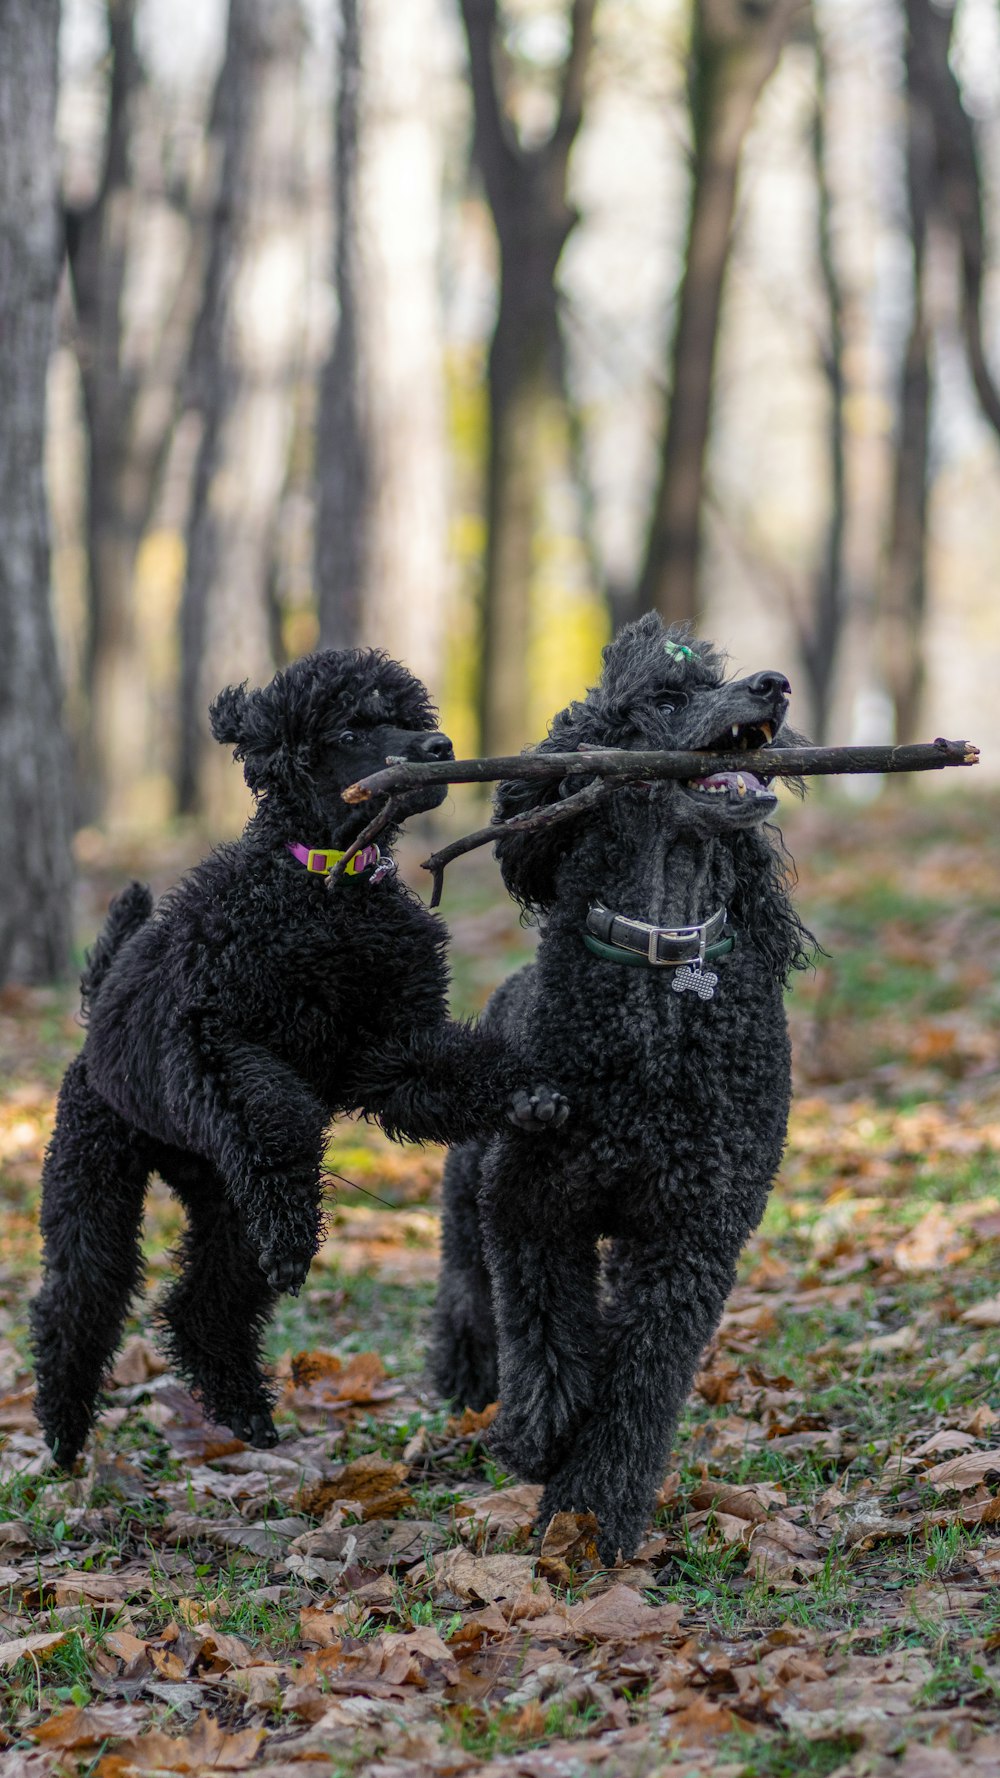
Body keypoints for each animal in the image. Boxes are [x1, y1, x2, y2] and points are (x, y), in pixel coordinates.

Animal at [33, 647, 562, 1465]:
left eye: (407, 715)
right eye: (349, 728)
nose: (439, 747)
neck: (324, 887)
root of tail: (94, 1031)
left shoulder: (389, 1048)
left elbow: (449, 1071)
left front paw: (527, 1096)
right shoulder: (217, 1043)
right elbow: (277, 1110)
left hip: (222, 1194)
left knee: (204, 1302)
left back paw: (243, 1406)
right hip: (98, 1172)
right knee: (79, 1295)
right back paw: (62, 1431)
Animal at [432, 618, 814, 1564]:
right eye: (667, 698)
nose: (774, 684)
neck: (660, 959)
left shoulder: (693, 1227)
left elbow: (642, 1377)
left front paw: (596, 1507)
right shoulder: (531, 1201)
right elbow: (543, 1331)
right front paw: (540, 1437)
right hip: (469, 1196)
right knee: (471, 1300)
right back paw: (472, 1385)